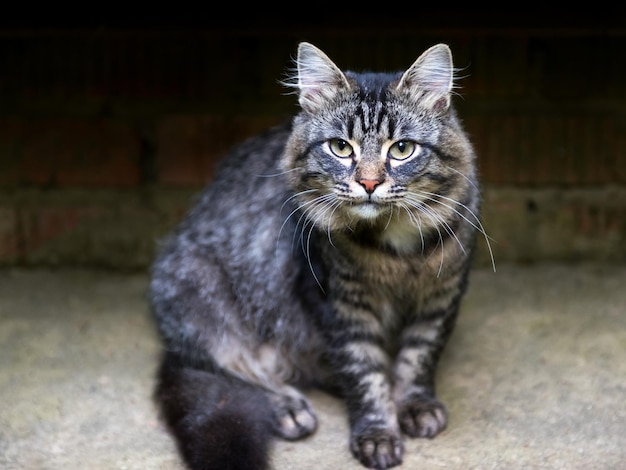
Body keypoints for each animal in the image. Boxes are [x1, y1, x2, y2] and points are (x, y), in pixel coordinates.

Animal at [149, 41, 490, 470]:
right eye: (341, 148)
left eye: (402, 149)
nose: (369, 183)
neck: (397, 249)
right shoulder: (340, 304)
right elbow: (364, 372)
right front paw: (377, 433)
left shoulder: (440, 296)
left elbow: (418, 357)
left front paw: (414, 404)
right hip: (198, 289)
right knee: (237, 368)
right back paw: (289, 409)